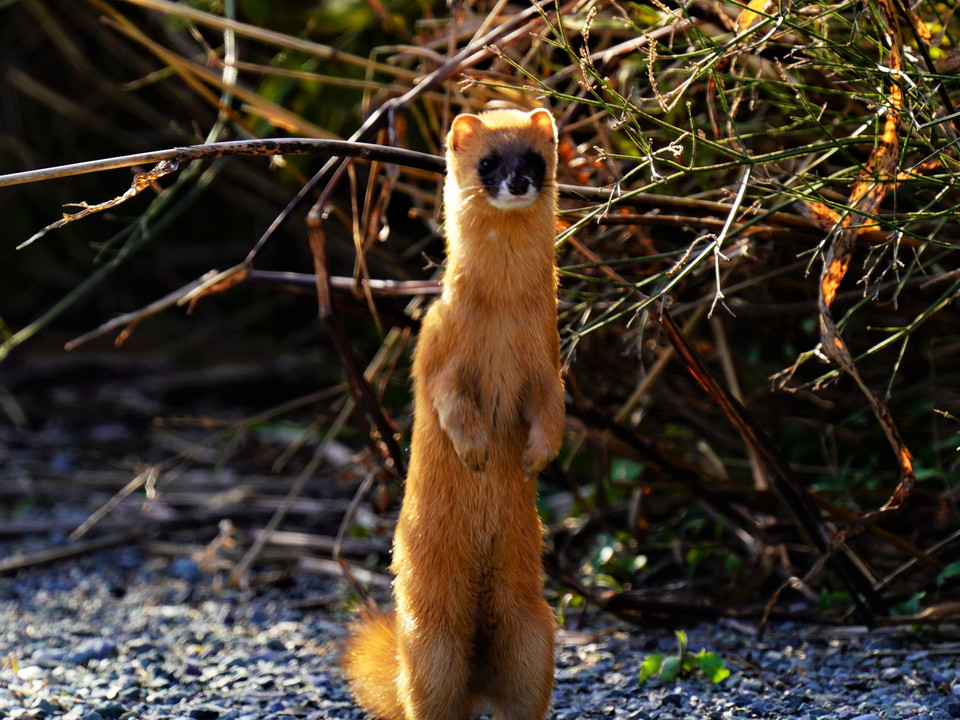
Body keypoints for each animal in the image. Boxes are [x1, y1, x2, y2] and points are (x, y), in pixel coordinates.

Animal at [344, 107, 564, 720]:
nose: (518, 180)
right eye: (488, 162)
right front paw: (476, 449)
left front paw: (536, 455)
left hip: (533, 635)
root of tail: (477, 678)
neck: (503, 321)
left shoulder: (547, 357)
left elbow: (553, 409)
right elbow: (449, 401)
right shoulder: (438, 348)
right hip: (431, 644)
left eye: (533, 157)